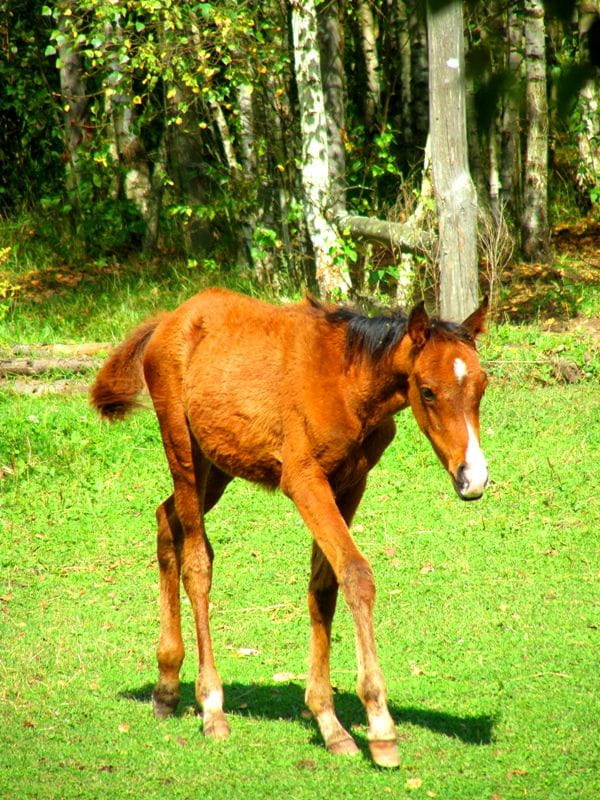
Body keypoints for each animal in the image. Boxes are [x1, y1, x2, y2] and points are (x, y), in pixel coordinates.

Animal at [91, 290, 490, 768]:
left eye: (482, 385)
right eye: (427, 390)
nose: (473, 478)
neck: (347, 383)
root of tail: (171, 318)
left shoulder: (351, 483)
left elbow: (325, 587)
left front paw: (329, 723)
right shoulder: (303, 480)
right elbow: (356, 574)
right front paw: (380, 728)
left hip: (217, 465)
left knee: (165, 522)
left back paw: (167, 686)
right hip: (183, 451)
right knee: (197, 562)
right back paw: (211, 707)